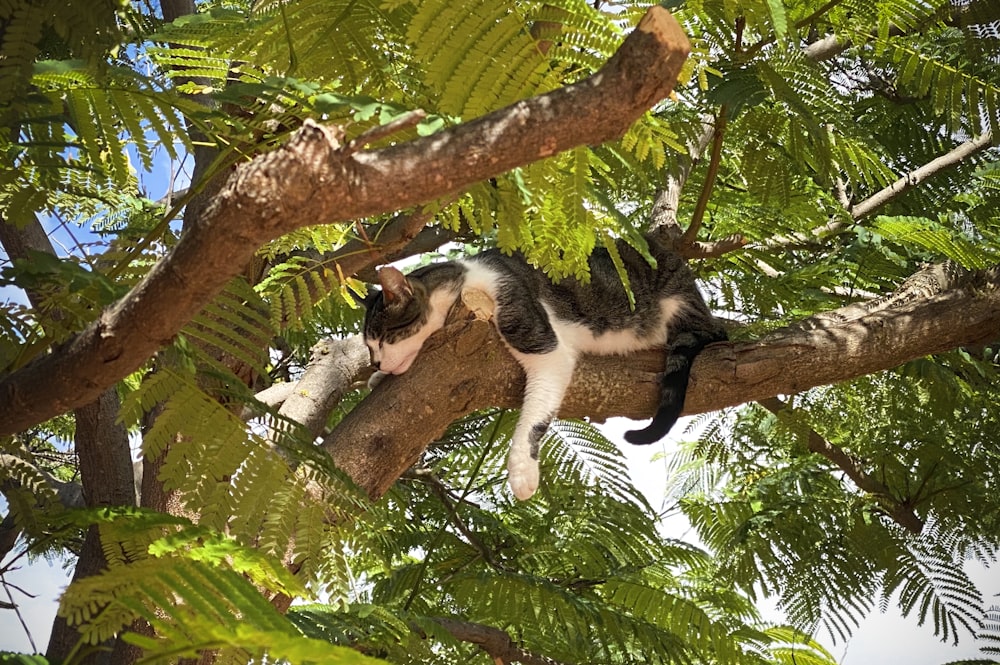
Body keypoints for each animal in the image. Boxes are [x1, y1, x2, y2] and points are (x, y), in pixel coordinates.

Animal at [364, 231, 724, 500]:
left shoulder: (542, 344)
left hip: (677, 309)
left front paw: (522, 471)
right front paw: (378, 377)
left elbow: (533, 420)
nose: (376, 361)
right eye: (369, 347)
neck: (463, 281)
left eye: (382, 339)